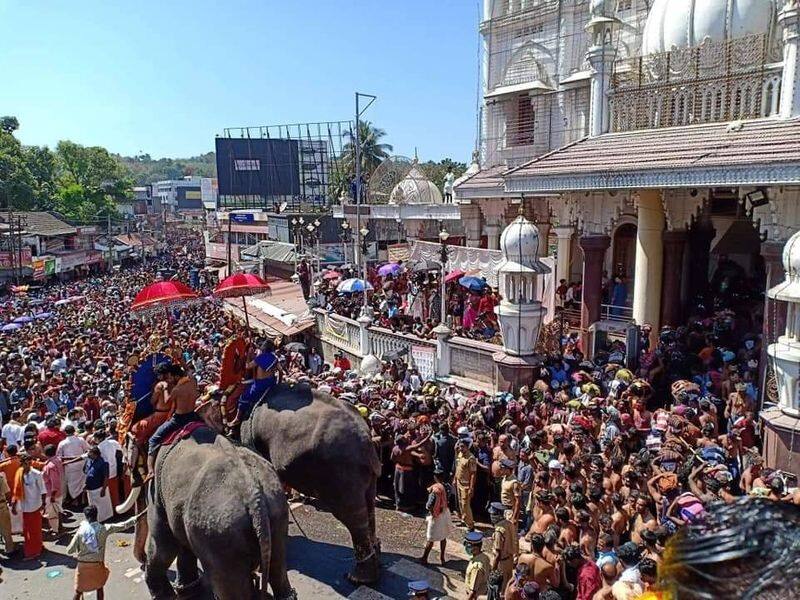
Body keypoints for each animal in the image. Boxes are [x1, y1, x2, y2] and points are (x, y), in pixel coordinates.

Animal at [117, 426, 296, 600]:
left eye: (126, 461)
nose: (142, 560)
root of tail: (254, 496)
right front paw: (186, 590)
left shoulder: (157, 488)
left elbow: (164, 544)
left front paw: (165, 595)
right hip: (276, 513)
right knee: (278, 570)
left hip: (219, 532)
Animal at [203, 382, 384, 584]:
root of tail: (366, 438)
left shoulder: (247, 437)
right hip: (362, 474)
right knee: (369, 507)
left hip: (341, 471)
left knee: (353, 514)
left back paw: (358, 578)